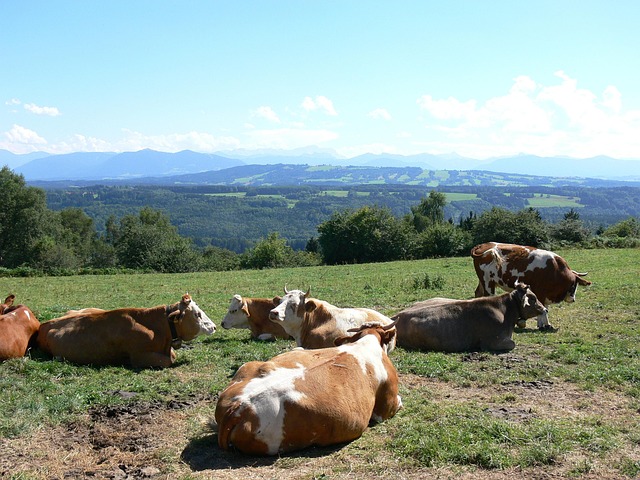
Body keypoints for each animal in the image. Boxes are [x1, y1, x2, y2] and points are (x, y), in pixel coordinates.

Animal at [391, 283, 548, 352]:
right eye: (533, 298)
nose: (545, 309)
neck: (506, 310)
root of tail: (397, 316)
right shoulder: (493, 341)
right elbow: (512, 344)